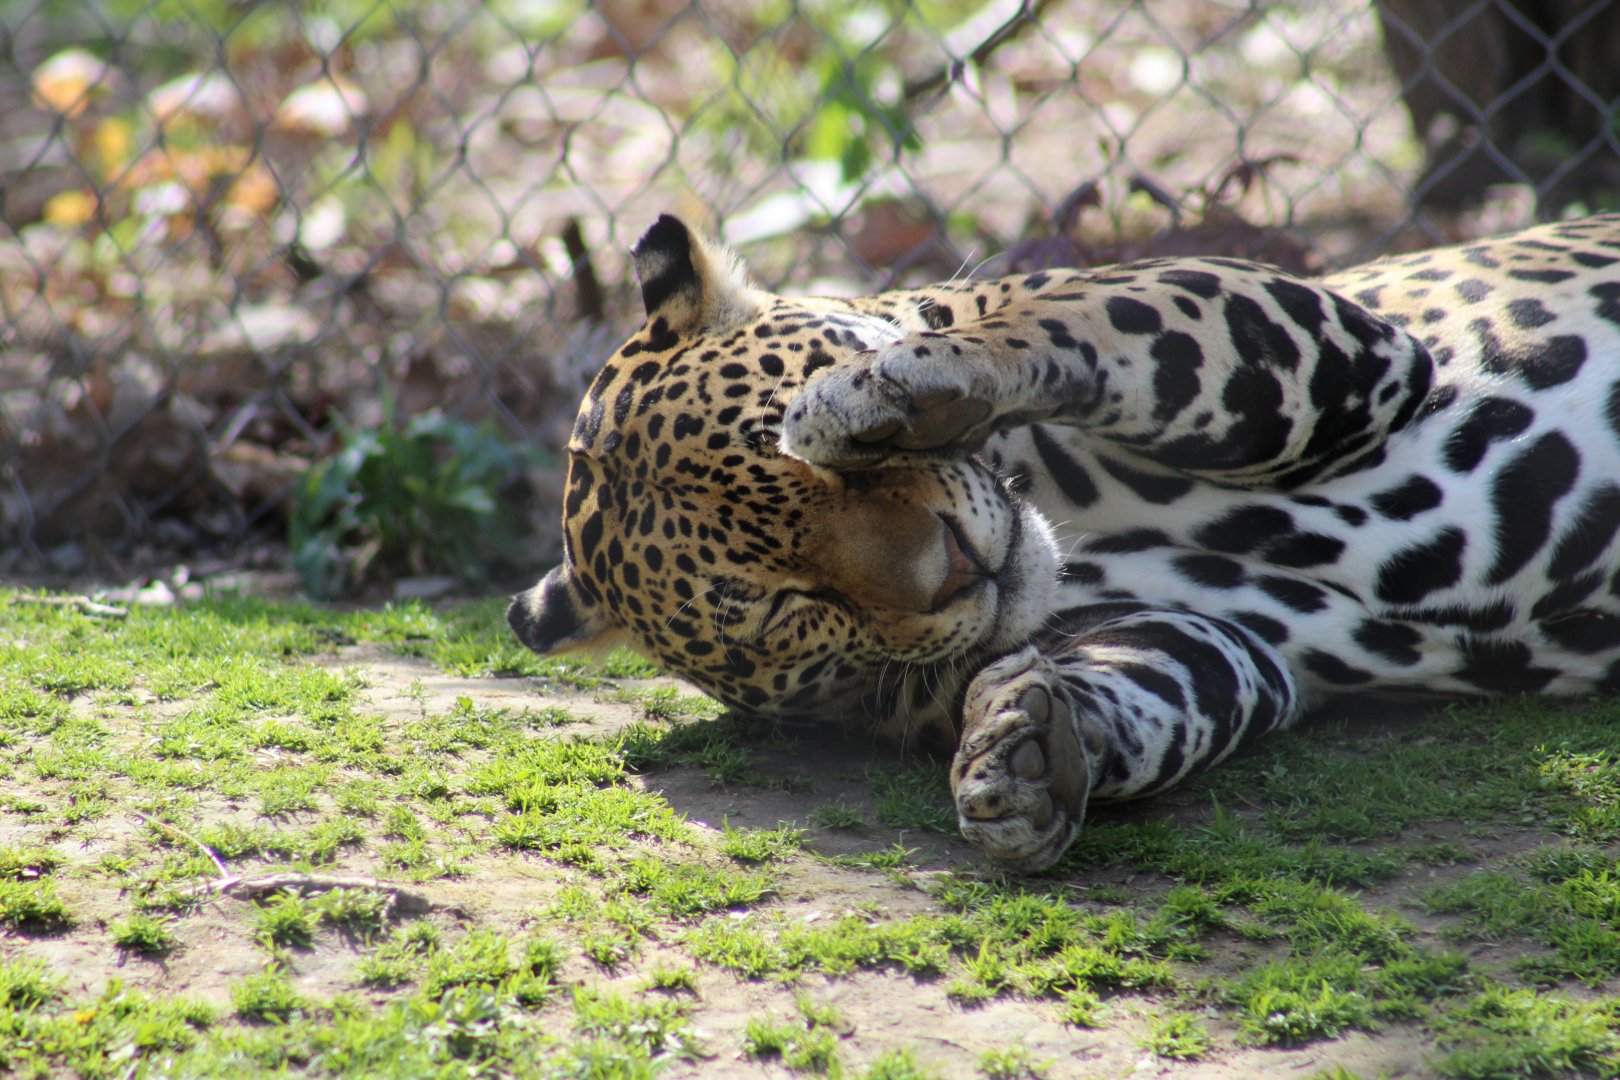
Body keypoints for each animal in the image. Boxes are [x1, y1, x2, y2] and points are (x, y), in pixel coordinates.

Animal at [509, 211, 1620, 872]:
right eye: (793, 606)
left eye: (833, 477)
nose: (956, 566)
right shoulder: (1238, 641)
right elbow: (1159, 685)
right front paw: (1027, 754)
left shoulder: (1349, 347)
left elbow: (1087, 315)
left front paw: (895, 388)